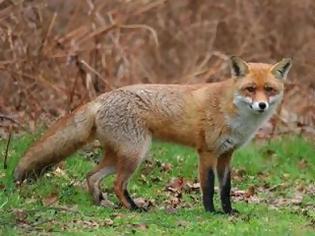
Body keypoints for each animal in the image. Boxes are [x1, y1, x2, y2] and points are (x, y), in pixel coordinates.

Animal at [13, 56, 292, 213]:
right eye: (250, 89)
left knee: (91, 176)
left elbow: (225, 189)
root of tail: (101, 98)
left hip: (119, 155)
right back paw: (134, 209)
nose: (261, 105)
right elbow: (208, 187)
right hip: (135, 153)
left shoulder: (226, 154)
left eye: (269, 89)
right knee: (118, 184)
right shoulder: (207, 152)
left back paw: (101, 203)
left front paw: (229, 212)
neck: (234, 114)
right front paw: (211, 212)